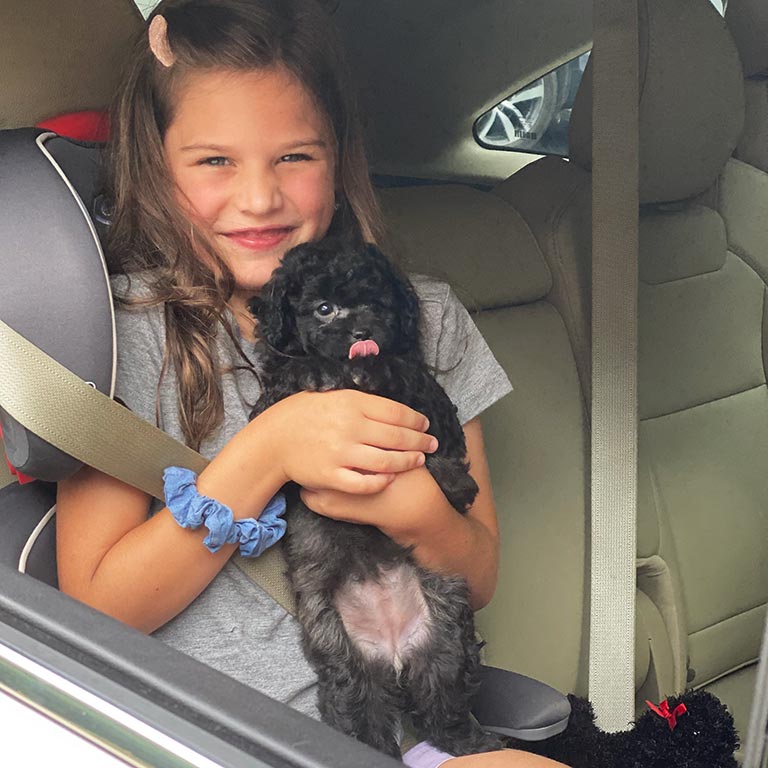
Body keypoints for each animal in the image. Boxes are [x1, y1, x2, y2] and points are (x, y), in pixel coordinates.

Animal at [249, 243, 500, 760]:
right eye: (324, 308)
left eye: (378, 304)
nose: (363, 334)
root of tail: (395, 654)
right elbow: (284, 385)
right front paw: (315, 372)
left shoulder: (426, 403)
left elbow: (412, 387)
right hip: (342, 653)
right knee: (361, 712)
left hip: (447, 639)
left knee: (444, 702)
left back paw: (474, 741)